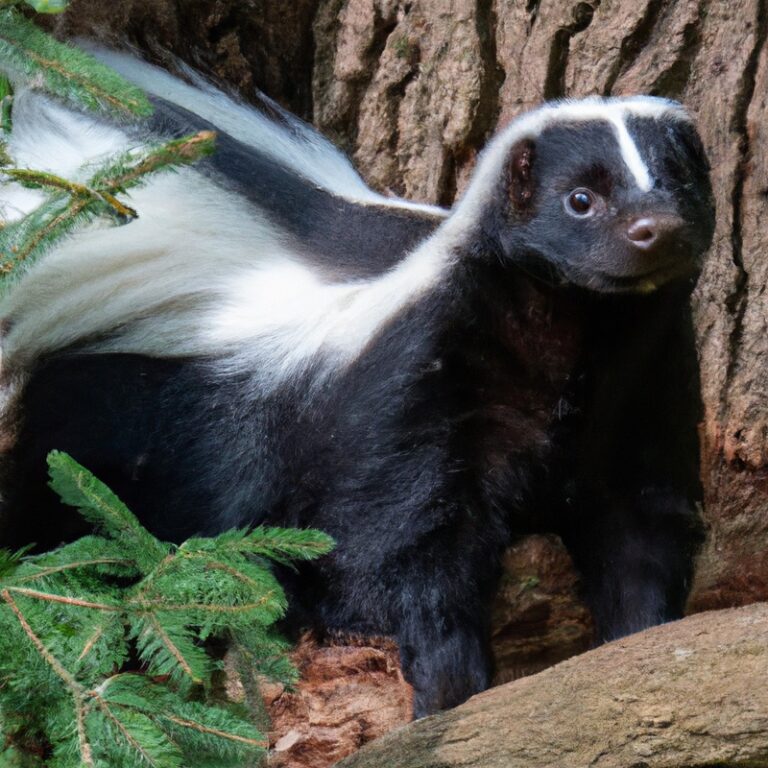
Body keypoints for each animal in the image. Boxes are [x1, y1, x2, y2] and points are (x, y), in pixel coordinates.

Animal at [0, 51, 716, 716]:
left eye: (679, 182)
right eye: (580, 200)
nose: (654, 231)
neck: (570, 333)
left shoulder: (639, 381)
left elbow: (639, 519)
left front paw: (638, 637)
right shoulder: (409, 380)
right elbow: (401, 549)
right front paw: (446, 686)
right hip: (114, 429)